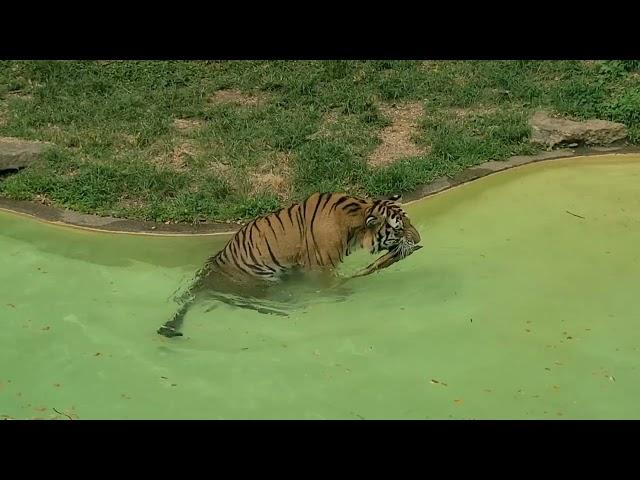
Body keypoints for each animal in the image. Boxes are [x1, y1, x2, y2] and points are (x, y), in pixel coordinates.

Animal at [158, 191, 422, 338]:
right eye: (399, 229)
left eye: (409, 221)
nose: (419, 240)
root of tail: (210, 273)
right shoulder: (321, 268)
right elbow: (331, 286)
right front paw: (345, 293)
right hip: (261, 282)